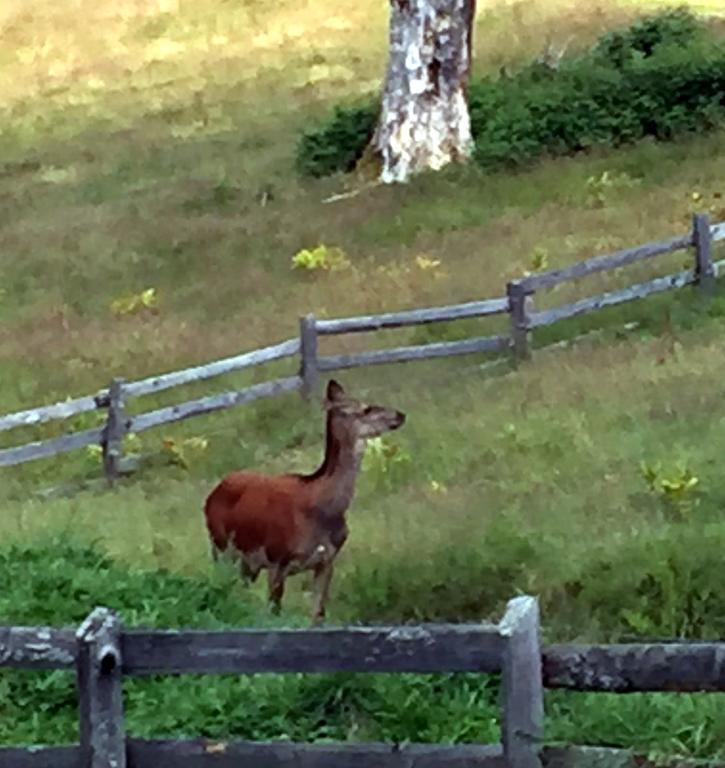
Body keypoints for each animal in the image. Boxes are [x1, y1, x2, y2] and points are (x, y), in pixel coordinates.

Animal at [204, 378, 404, 624]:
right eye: (365, 408)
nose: (400, 415)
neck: (321, 509)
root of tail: (212, 494)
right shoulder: (277, 558)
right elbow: (274, 611)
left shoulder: (327, 561)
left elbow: (318, 614)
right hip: (220, 546)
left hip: (246, 562)